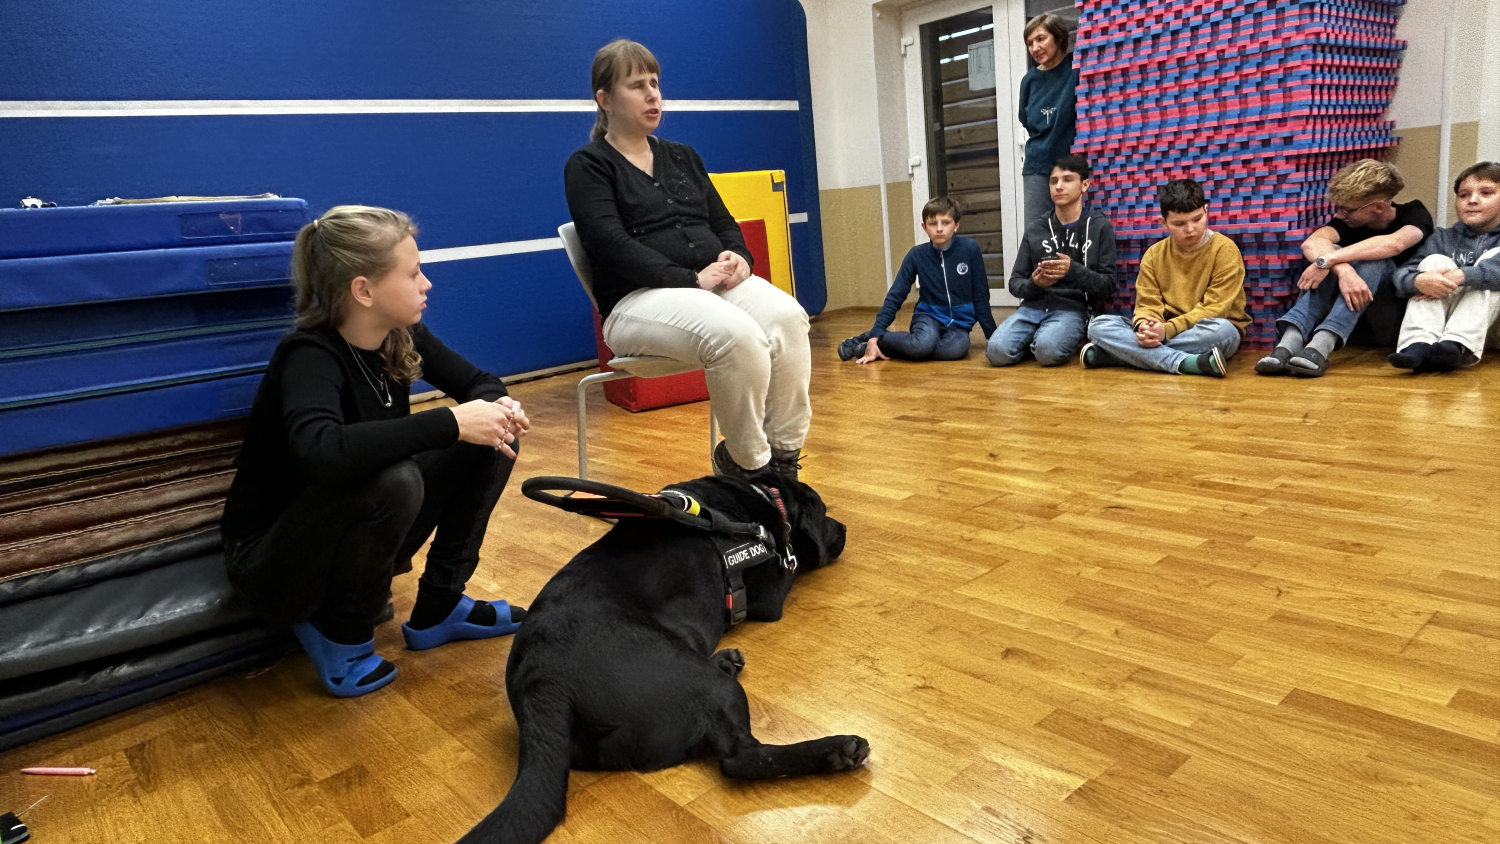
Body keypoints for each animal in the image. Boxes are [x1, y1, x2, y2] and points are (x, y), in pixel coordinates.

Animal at [457, 474, 867, 844]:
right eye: (825, 513)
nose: (846, 528)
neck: (766, 499)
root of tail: (542, 684)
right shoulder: (771, 595)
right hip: (709, 687)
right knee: (741, 758)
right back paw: (836, 751)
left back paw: (726, 660)